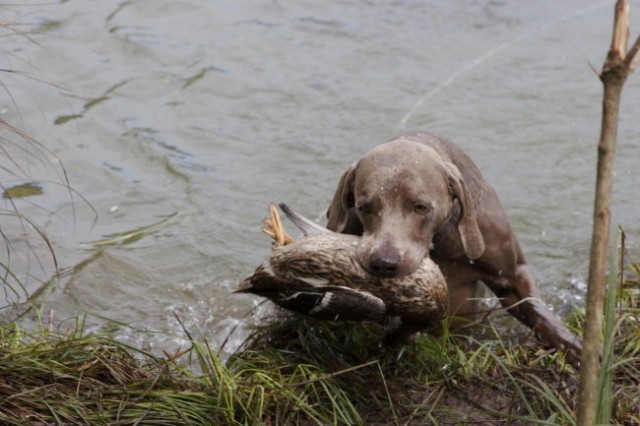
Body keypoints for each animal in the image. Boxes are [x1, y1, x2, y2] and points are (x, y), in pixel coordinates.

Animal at [328, 132, 584, 362]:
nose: (384, 263)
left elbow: (538, 311)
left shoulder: (512, 273)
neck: (439, 240)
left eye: (421, 206)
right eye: (364, 207)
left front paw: (575, 348)